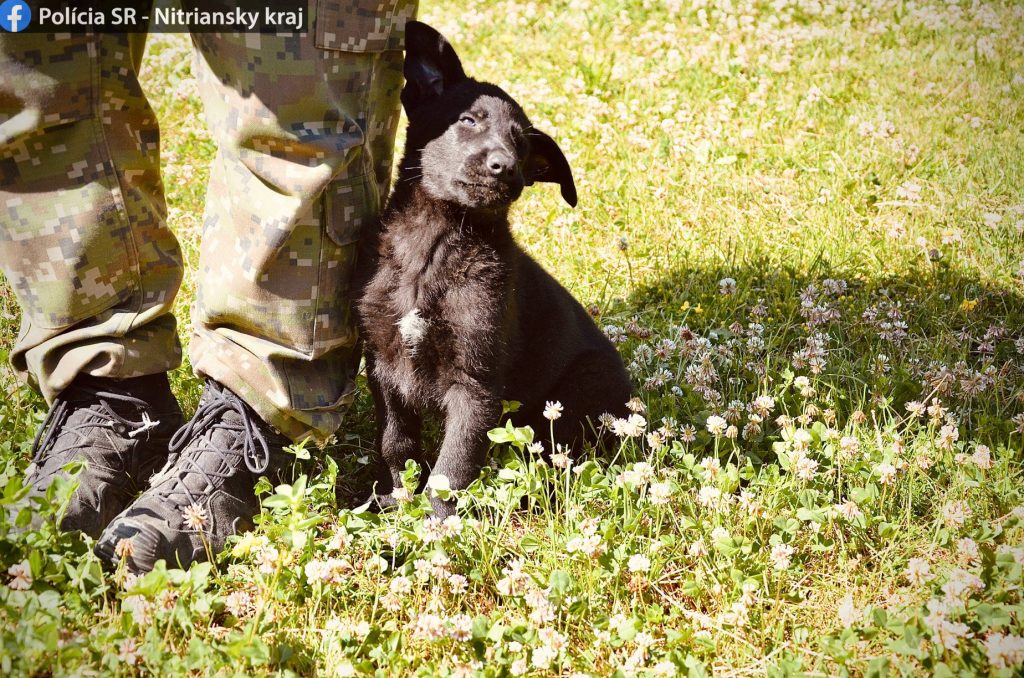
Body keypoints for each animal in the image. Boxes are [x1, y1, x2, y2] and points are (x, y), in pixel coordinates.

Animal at [358, 22, 630, 520]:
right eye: (468, 120)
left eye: (521, 144)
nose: (505, 169)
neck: (434, 245)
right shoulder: (384, 363)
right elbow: (395, 443)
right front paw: (394, 500)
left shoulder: (476, 384)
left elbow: (452, 467)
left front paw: (436, 529)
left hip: (576, 392)